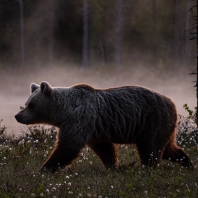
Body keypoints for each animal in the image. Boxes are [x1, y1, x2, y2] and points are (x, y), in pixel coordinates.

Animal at [15, 81, 193, 172]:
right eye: (27, 102)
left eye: (31, 105)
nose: (18, 116)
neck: (63, 111)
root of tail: (172, 103)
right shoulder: (94, 129)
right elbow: (105, 149)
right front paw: (113, 166)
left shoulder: (79, 120)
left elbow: (68, 147)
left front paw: (44, 168)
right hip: (164, 126)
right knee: (167, 149)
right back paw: (187, 162)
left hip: (152, 120)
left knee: (150, 148)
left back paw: (147, 168)